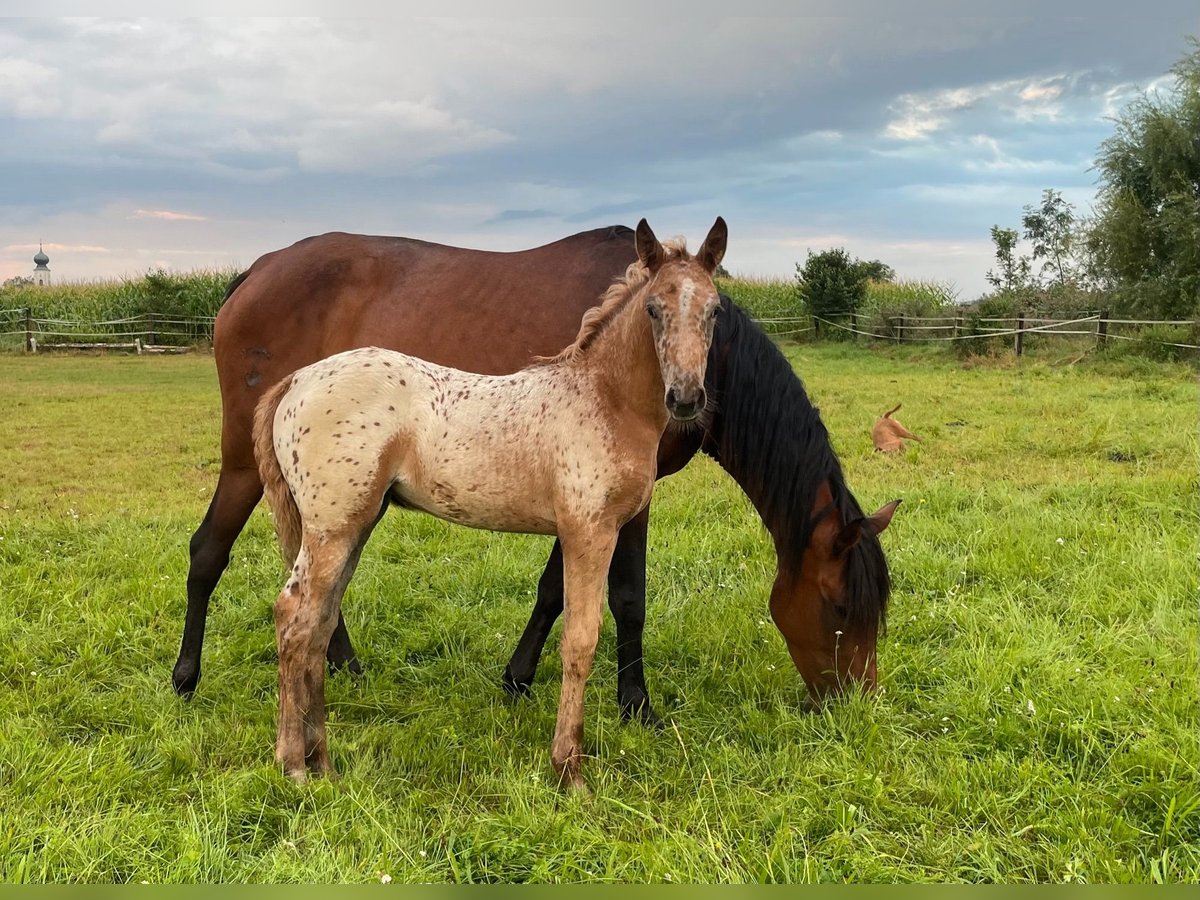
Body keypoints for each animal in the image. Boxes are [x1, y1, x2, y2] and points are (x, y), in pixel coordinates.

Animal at [174, 226, 897, 724]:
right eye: (838, 606)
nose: (854, 703)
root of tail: (253, 273)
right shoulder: (625, 499)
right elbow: (627, 597)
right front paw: (636, 703)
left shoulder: (585, 495)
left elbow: (553, 590)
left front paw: (518, 677)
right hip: (249, 465)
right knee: (211, 551)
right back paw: (187, 677)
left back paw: (342, 665)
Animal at [253, 218, 724, 787]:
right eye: (654, 307)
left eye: (715, 309)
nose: (686, 398)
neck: (604, 398)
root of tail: (297, 380)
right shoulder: (590, 531)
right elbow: (581, 640)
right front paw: (569, 769)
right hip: (330, 528)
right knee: (294, 617)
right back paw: (293, 765)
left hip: (355, 525)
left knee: (320, 624)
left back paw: (322, 760)